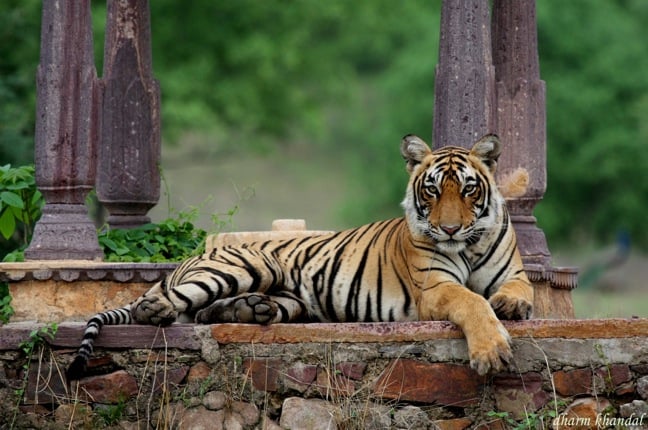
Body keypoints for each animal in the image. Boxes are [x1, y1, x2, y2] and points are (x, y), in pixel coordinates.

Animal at [66, 133, 533, 381]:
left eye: (469, 189)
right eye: (432, 190)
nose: (449, 228)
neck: (468, 245)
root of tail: (196, 254)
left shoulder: (513, 273)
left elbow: (516, 291)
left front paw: (512, 306)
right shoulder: (435, 288)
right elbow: (471, 302)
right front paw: (492, 352)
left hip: (289, 298)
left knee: (204, 313)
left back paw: (249, 310)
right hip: (245, 266)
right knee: (161, 305)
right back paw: (161, 308)